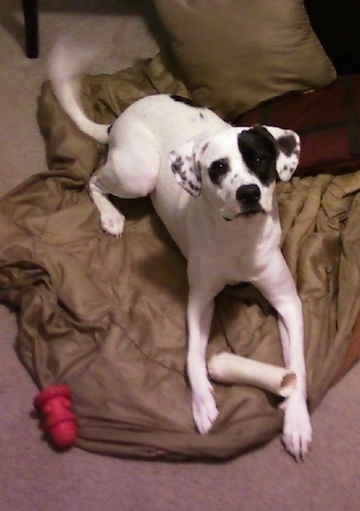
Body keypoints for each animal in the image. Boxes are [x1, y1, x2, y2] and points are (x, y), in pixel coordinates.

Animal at [50, 45, 312, 460]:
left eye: (259, 159)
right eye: (218, 168)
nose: (249, 193)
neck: (239, 237)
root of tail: (120, 118)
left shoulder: (287, 302)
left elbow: (297, 367)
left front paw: (297, 421)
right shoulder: (200, 300)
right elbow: (192, 356)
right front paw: (202, 402)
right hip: (138, 174)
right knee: (93, 180)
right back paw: (110, 216)